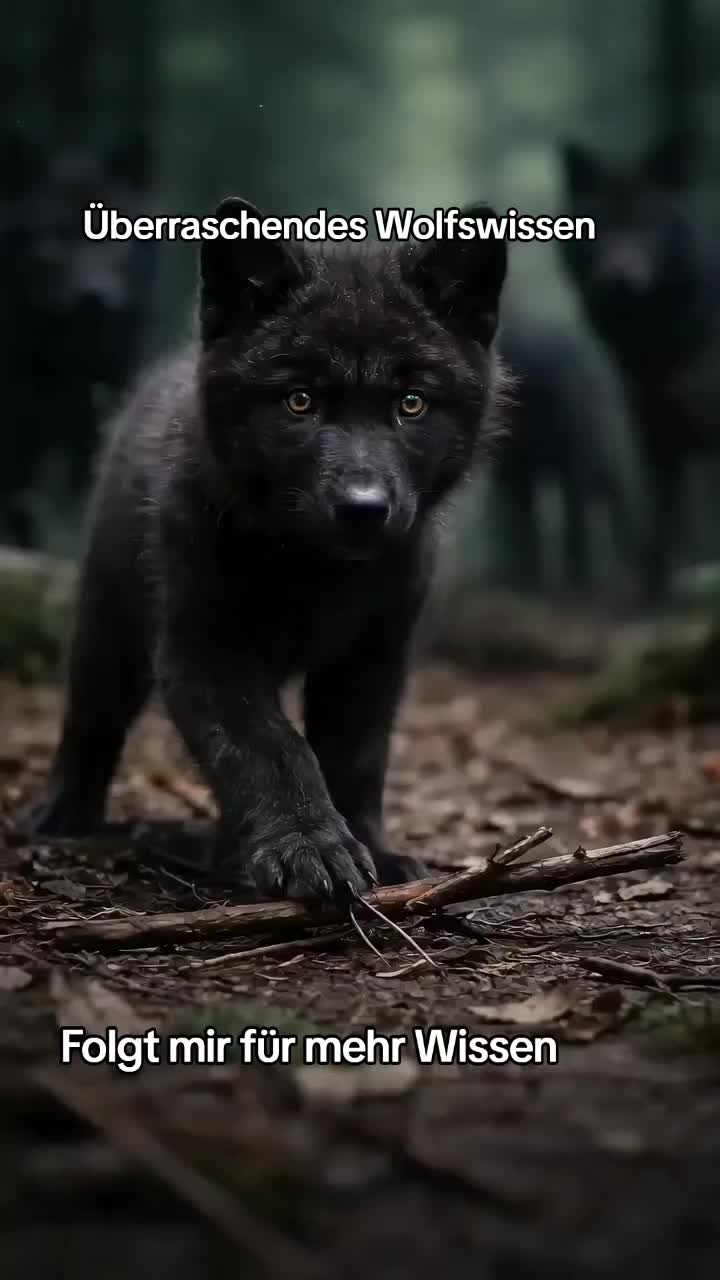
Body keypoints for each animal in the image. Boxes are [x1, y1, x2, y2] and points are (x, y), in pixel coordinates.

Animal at [26, 196, 508, 903]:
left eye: (411, 403)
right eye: (299, 401)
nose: (363, 508)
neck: (315, 572)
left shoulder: (373, 658)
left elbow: (356, 758)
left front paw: (375, 850)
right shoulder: (206, 650)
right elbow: (271, 748)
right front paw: (310, 848)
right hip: (107, 623)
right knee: (90, 718)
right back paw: (63, 813)